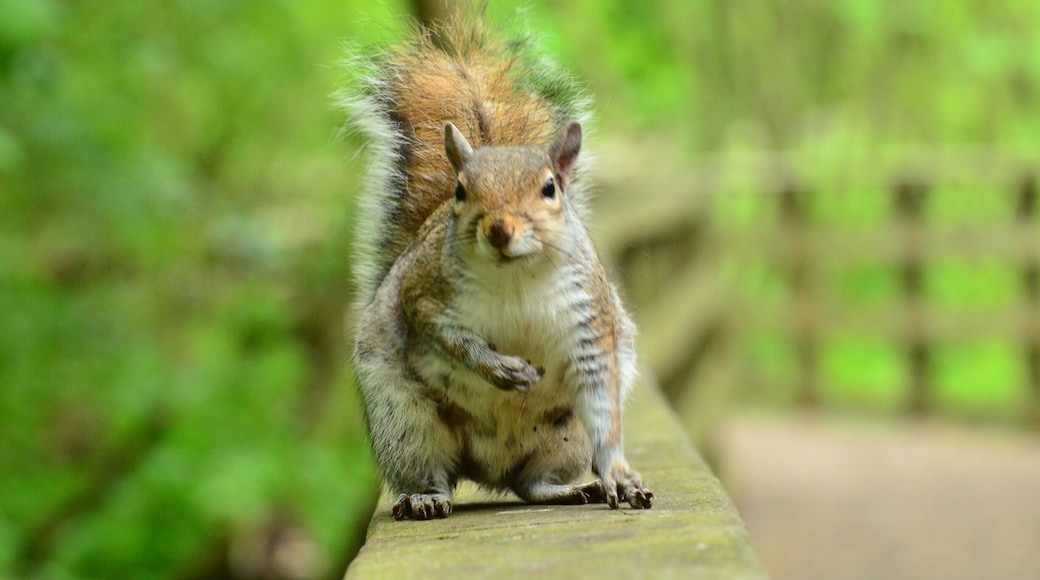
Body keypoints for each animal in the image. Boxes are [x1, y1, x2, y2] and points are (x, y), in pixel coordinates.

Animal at [340, 17, 653, 520]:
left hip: (566, 437)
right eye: (461, 190)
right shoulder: (424, 295)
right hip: (405, 423)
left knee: (531, 484)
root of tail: (490, 467)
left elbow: (602, 402)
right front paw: (503, 370)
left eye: (550, 188)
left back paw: (568, 489)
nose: (499, 229)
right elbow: (449, 337)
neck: (515, 279)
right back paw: (425, 497)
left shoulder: (590, 321)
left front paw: (621, 478)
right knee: (432, 471)